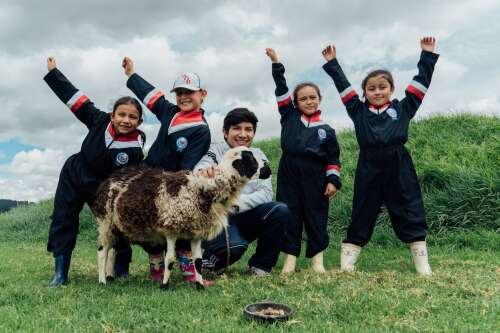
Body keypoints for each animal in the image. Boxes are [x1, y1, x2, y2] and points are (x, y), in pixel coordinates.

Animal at [90, 145, 270, 288]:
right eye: (250, 158)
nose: (268, 168)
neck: (203, 189)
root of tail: (108, 180)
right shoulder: (171, 228)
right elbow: (169, 259)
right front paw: (164, 285)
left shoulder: (196, 232)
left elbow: (197, 261)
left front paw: (200, 286)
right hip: (106, 223)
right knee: (102, 251)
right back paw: (102, 281)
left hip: (119, 227)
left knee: (112, 251)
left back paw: (110, 276)